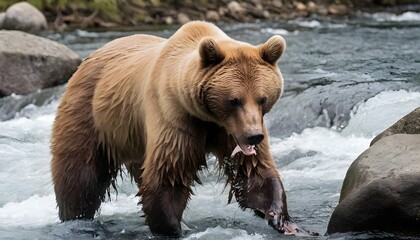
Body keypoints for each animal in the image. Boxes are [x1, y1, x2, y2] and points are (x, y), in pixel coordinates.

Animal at [51, 21, 308, 237]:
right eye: (235, 100)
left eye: (262, 99)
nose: (254, 136)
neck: (209, 116)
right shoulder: (176, 118)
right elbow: (168, 177)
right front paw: (173, 229)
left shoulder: (228, 131)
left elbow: (253, 173)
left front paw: (283, 220)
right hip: (90, 115)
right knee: (80, 178)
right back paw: (74, 216)